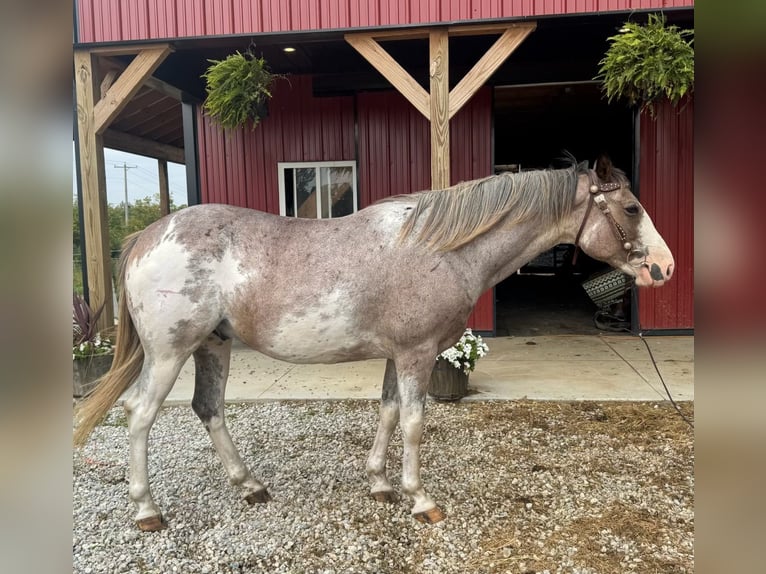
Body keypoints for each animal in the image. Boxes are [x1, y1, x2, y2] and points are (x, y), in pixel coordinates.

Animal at [73, 156, 674, 531]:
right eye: (631, 208)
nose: (664, 268)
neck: (440, 248)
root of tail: (148, 235)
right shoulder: (416, 354)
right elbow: (412, 422)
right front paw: (420, 499)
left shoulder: (398, 355)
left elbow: (386, 412)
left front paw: (381, 484)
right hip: (169, 353)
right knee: (139, 415)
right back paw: (147, 511)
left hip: (213, 346)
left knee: (209, 409)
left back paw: (250, 486)